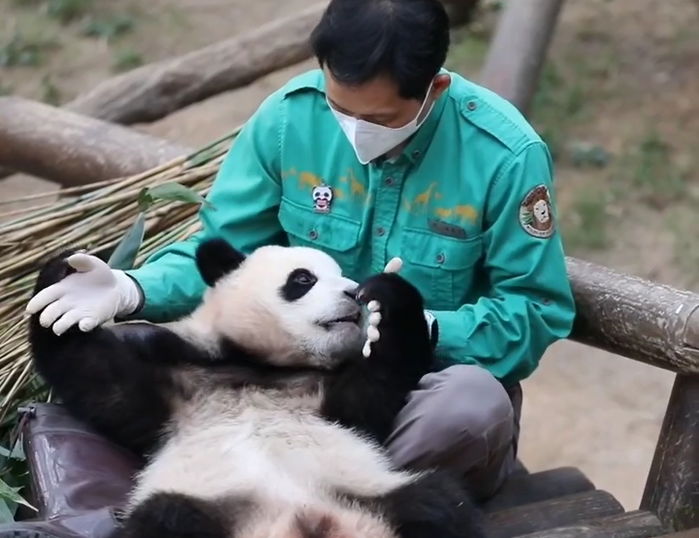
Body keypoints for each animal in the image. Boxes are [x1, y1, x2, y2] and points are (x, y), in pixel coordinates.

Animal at [28, 237, 486, 532]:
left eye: (345, 275)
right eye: (303, 279)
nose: (354, 293)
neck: (261, 366)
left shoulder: (333, 398)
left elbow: (378, 385)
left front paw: (387, 296)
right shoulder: (176, 372)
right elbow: (104, 381)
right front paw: (68, 280)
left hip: (373, 490)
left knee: (439, 503)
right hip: (200, 500)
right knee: (165, 519)